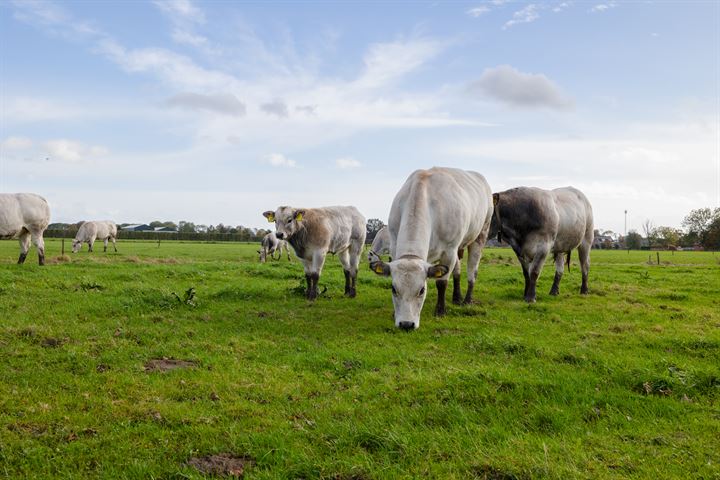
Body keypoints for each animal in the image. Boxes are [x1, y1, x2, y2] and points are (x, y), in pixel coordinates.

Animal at [372, 167, 496, 328]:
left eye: (422, 290)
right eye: (394, 289)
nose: (406, 324)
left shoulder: (449, 251)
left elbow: (441, 283)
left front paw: (440, 310)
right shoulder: (394, 246)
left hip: (480, 234)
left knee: (472, 271)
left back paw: (467, 300)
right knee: (457, 271)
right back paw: (457, 297)